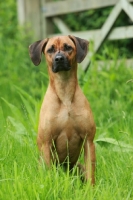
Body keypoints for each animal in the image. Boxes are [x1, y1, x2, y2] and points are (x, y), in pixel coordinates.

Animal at [28, 34, 95, 184]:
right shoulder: (46, 143)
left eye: (68, 47)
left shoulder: (89, 140)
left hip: (77, 167)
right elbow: (48, 171)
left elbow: (91, 174)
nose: (59, 59)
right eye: (50, 50)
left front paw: (91, 189)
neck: (65, 93)